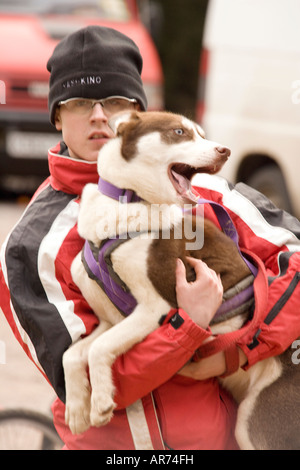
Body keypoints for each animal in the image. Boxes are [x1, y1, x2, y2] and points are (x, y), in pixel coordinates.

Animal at [63, 111, 300, 452]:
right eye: (179, 132)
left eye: (201, 133)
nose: (225, 151)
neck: (129, 201)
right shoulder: (109, 320)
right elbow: (72, 354)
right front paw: (77, 410)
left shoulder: (154, 309)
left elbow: (98, 349)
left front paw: (102, 402)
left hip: (256, 424)